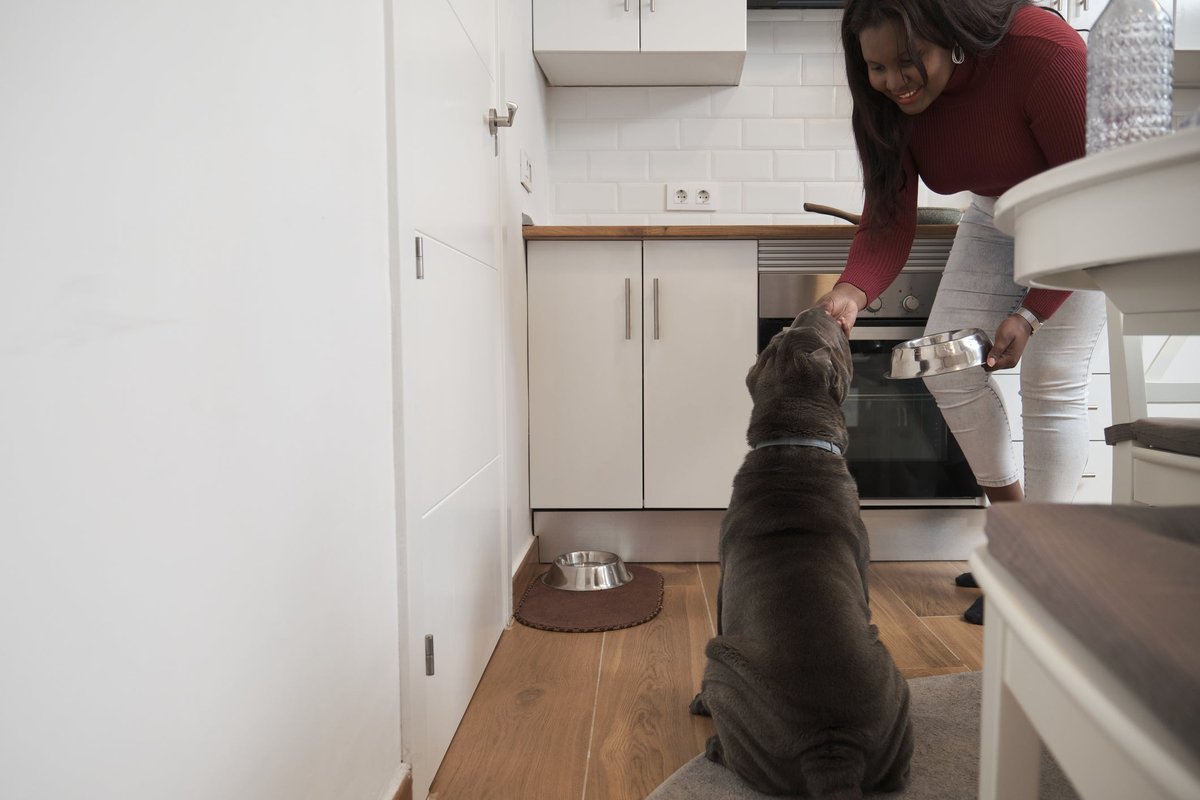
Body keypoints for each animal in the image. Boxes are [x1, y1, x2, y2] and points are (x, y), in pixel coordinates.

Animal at [691, 309, 912, 800]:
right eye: (783, 332)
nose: (821, 309)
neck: (794, 441)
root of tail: (832, 748)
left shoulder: (721, 587)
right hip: (897, 685)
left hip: (721, 663)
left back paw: (713, 743)